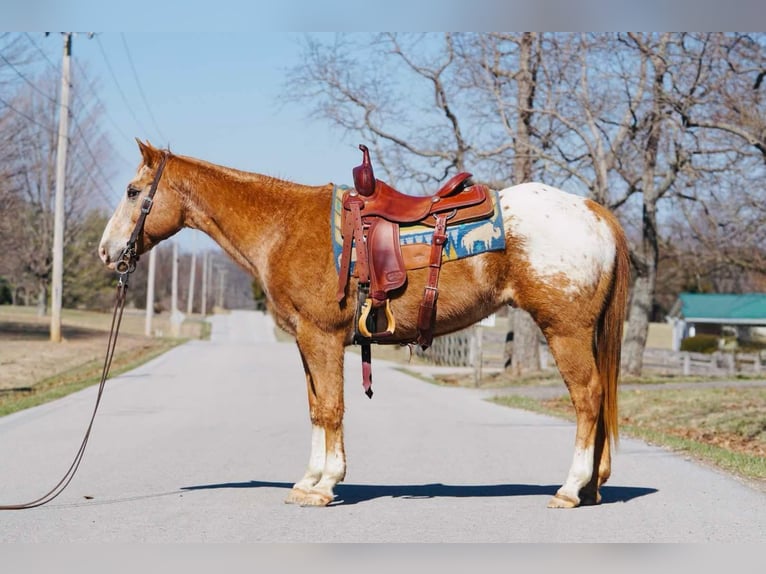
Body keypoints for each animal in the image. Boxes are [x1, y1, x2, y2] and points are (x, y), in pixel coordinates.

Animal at [99, 140, 630, 509]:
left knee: (588, 398)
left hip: (565, 332)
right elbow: (316, 408)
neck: (283, 227)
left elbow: (332, 408)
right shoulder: (306, 340)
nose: (107, 252)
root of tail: (594, 212)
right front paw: (307, 481)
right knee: (599, 397)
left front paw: (324, 485)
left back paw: (569, 489)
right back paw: (592, 488)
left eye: (132, 191)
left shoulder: (322, 337)